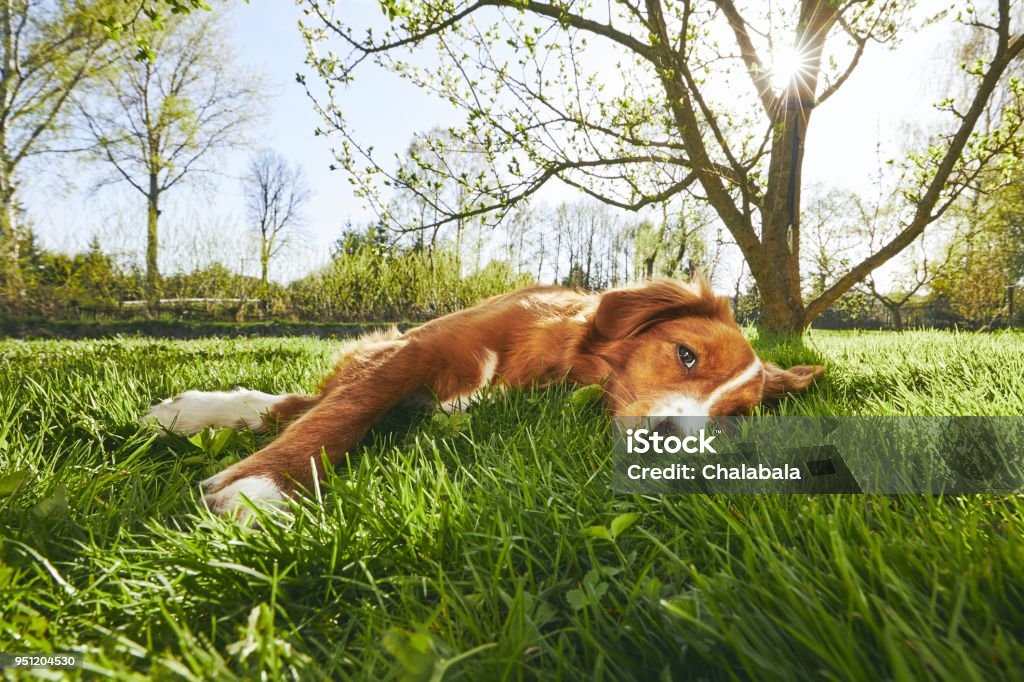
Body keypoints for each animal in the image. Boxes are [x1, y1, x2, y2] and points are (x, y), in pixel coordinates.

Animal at [140, 278, 823, 512]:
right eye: (685, 354)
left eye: (733, 423)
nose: (671, 449)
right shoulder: (413, 350)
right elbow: (343, 411)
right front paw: (266, 483)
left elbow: (329, 409)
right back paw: (190, 411)